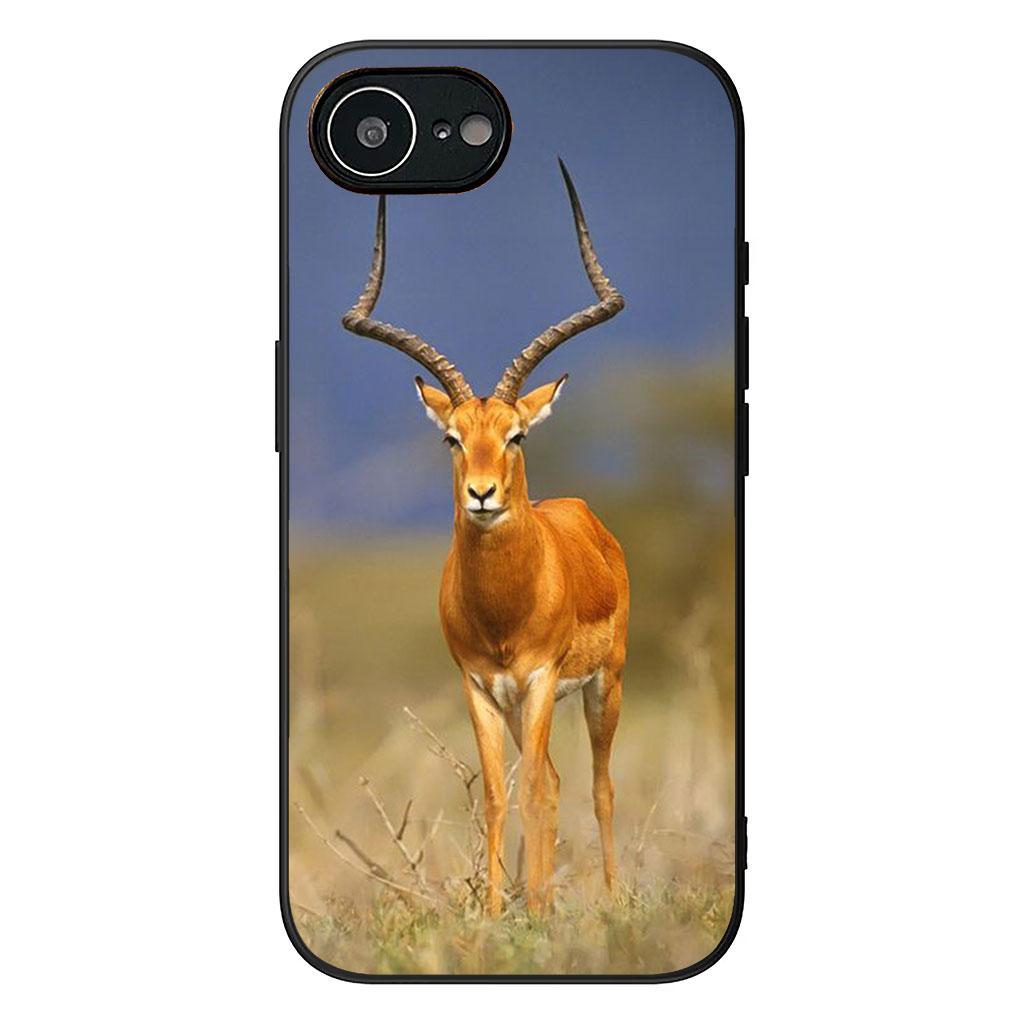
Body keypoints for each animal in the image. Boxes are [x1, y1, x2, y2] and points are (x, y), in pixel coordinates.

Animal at [340, 161, 628, 916]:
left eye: (516, 435)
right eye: (451, 438)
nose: (482, 494)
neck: (504, 608)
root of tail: (586, 516)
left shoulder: (538, 679)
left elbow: (536, 796)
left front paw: (537, 914)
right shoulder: (478, 685)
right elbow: (501, 796)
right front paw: (500, 914)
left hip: (604, 684)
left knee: (597, 786)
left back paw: (611, 901)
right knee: (552, 779)